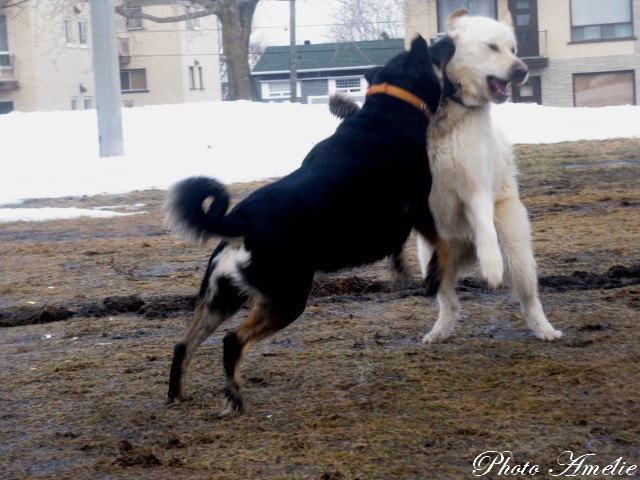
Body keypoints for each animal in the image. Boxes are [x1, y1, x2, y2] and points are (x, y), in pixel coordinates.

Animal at [165, 35, 456, 414]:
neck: (390, 106)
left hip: (220, 299)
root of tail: (239, 220)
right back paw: (234, 397)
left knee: (183, 345)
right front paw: (433, 277)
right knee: (233, 341)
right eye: (435, 51)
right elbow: (443, 244)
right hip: (286, 299)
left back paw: (178, 395)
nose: (447, 38)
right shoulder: (420, 207)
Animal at [420, 9, 564, 344]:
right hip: (430, 259)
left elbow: (485, 226)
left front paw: (491, 267)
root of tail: (463, 243)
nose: (522, 70)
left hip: (517, 255)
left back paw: (545, 330)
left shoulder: (476, 188)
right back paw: (439, 331)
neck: (451, 109)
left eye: (513, 49)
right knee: (449, 302)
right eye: (492, 47)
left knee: (530, 301)